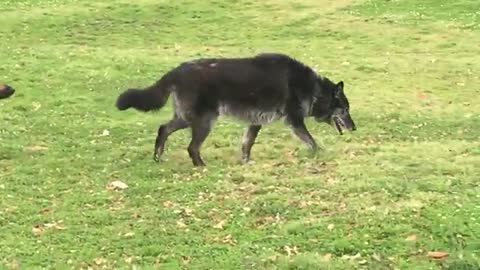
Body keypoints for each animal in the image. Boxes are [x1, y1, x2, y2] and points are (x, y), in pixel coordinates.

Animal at [117, 53, 356, 166]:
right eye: (344, 110)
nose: (354, 128)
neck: (312, 88)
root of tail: (177, 70)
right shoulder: (295, 121)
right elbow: (311, 141)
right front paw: (321, 154)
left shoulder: (255, 122)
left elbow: (246, 144)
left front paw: (246, 162)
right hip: (204, 121)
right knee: (192, 147)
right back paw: (201, 166)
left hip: (185, 118)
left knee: (163, 129)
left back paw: (158, 158)